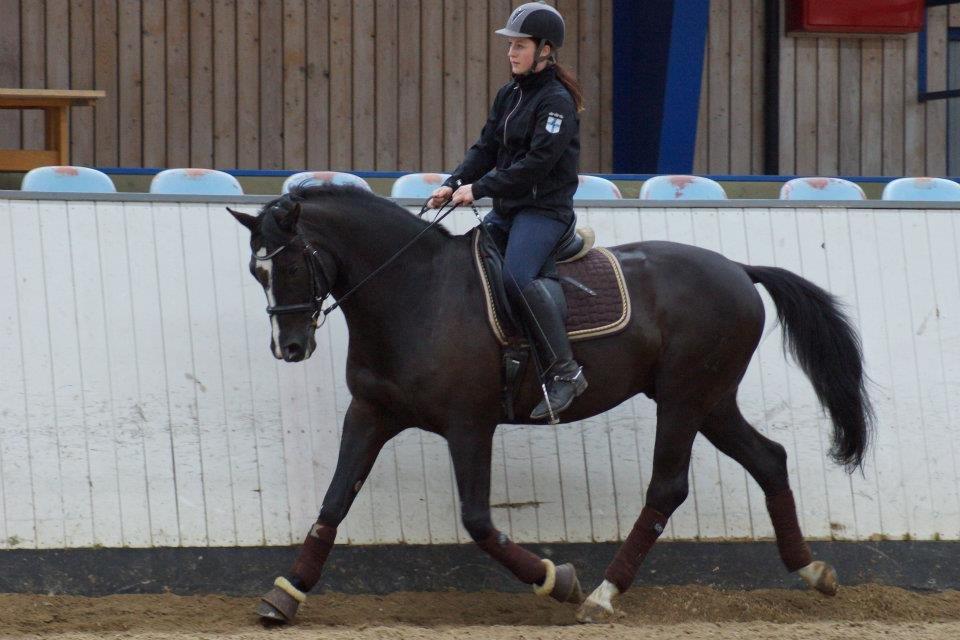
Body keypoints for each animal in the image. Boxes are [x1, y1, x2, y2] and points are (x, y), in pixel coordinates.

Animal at [228, 184, 872, 624]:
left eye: (290, 262)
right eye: (256, 271)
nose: (289, 347)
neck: (415, 292)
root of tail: (738, 269)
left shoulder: (469, 425)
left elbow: (478, 521)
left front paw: (555, 579)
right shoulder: (370, 413)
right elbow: (334, 502)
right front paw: (286, 593)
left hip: (686, 399)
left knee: (668, 487)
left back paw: (602, 595)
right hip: (711, 401)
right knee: (769, 459)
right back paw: (812, 570)